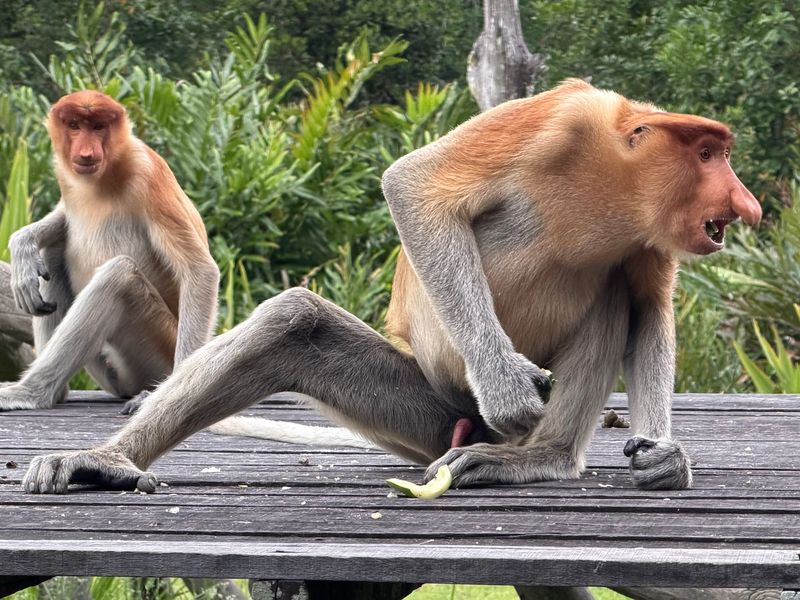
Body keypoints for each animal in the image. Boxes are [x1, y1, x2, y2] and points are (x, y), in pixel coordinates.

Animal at [2, 90, 219, 414]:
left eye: (98, 126)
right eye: (75, 125)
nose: (86, 153)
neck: (103, 176)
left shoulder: (148, 174)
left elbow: (199, 270)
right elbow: (63, 219)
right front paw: (23, 244)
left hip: (158, 348)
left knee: (119, 277)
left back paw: (31, 393)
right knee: (54, 251)